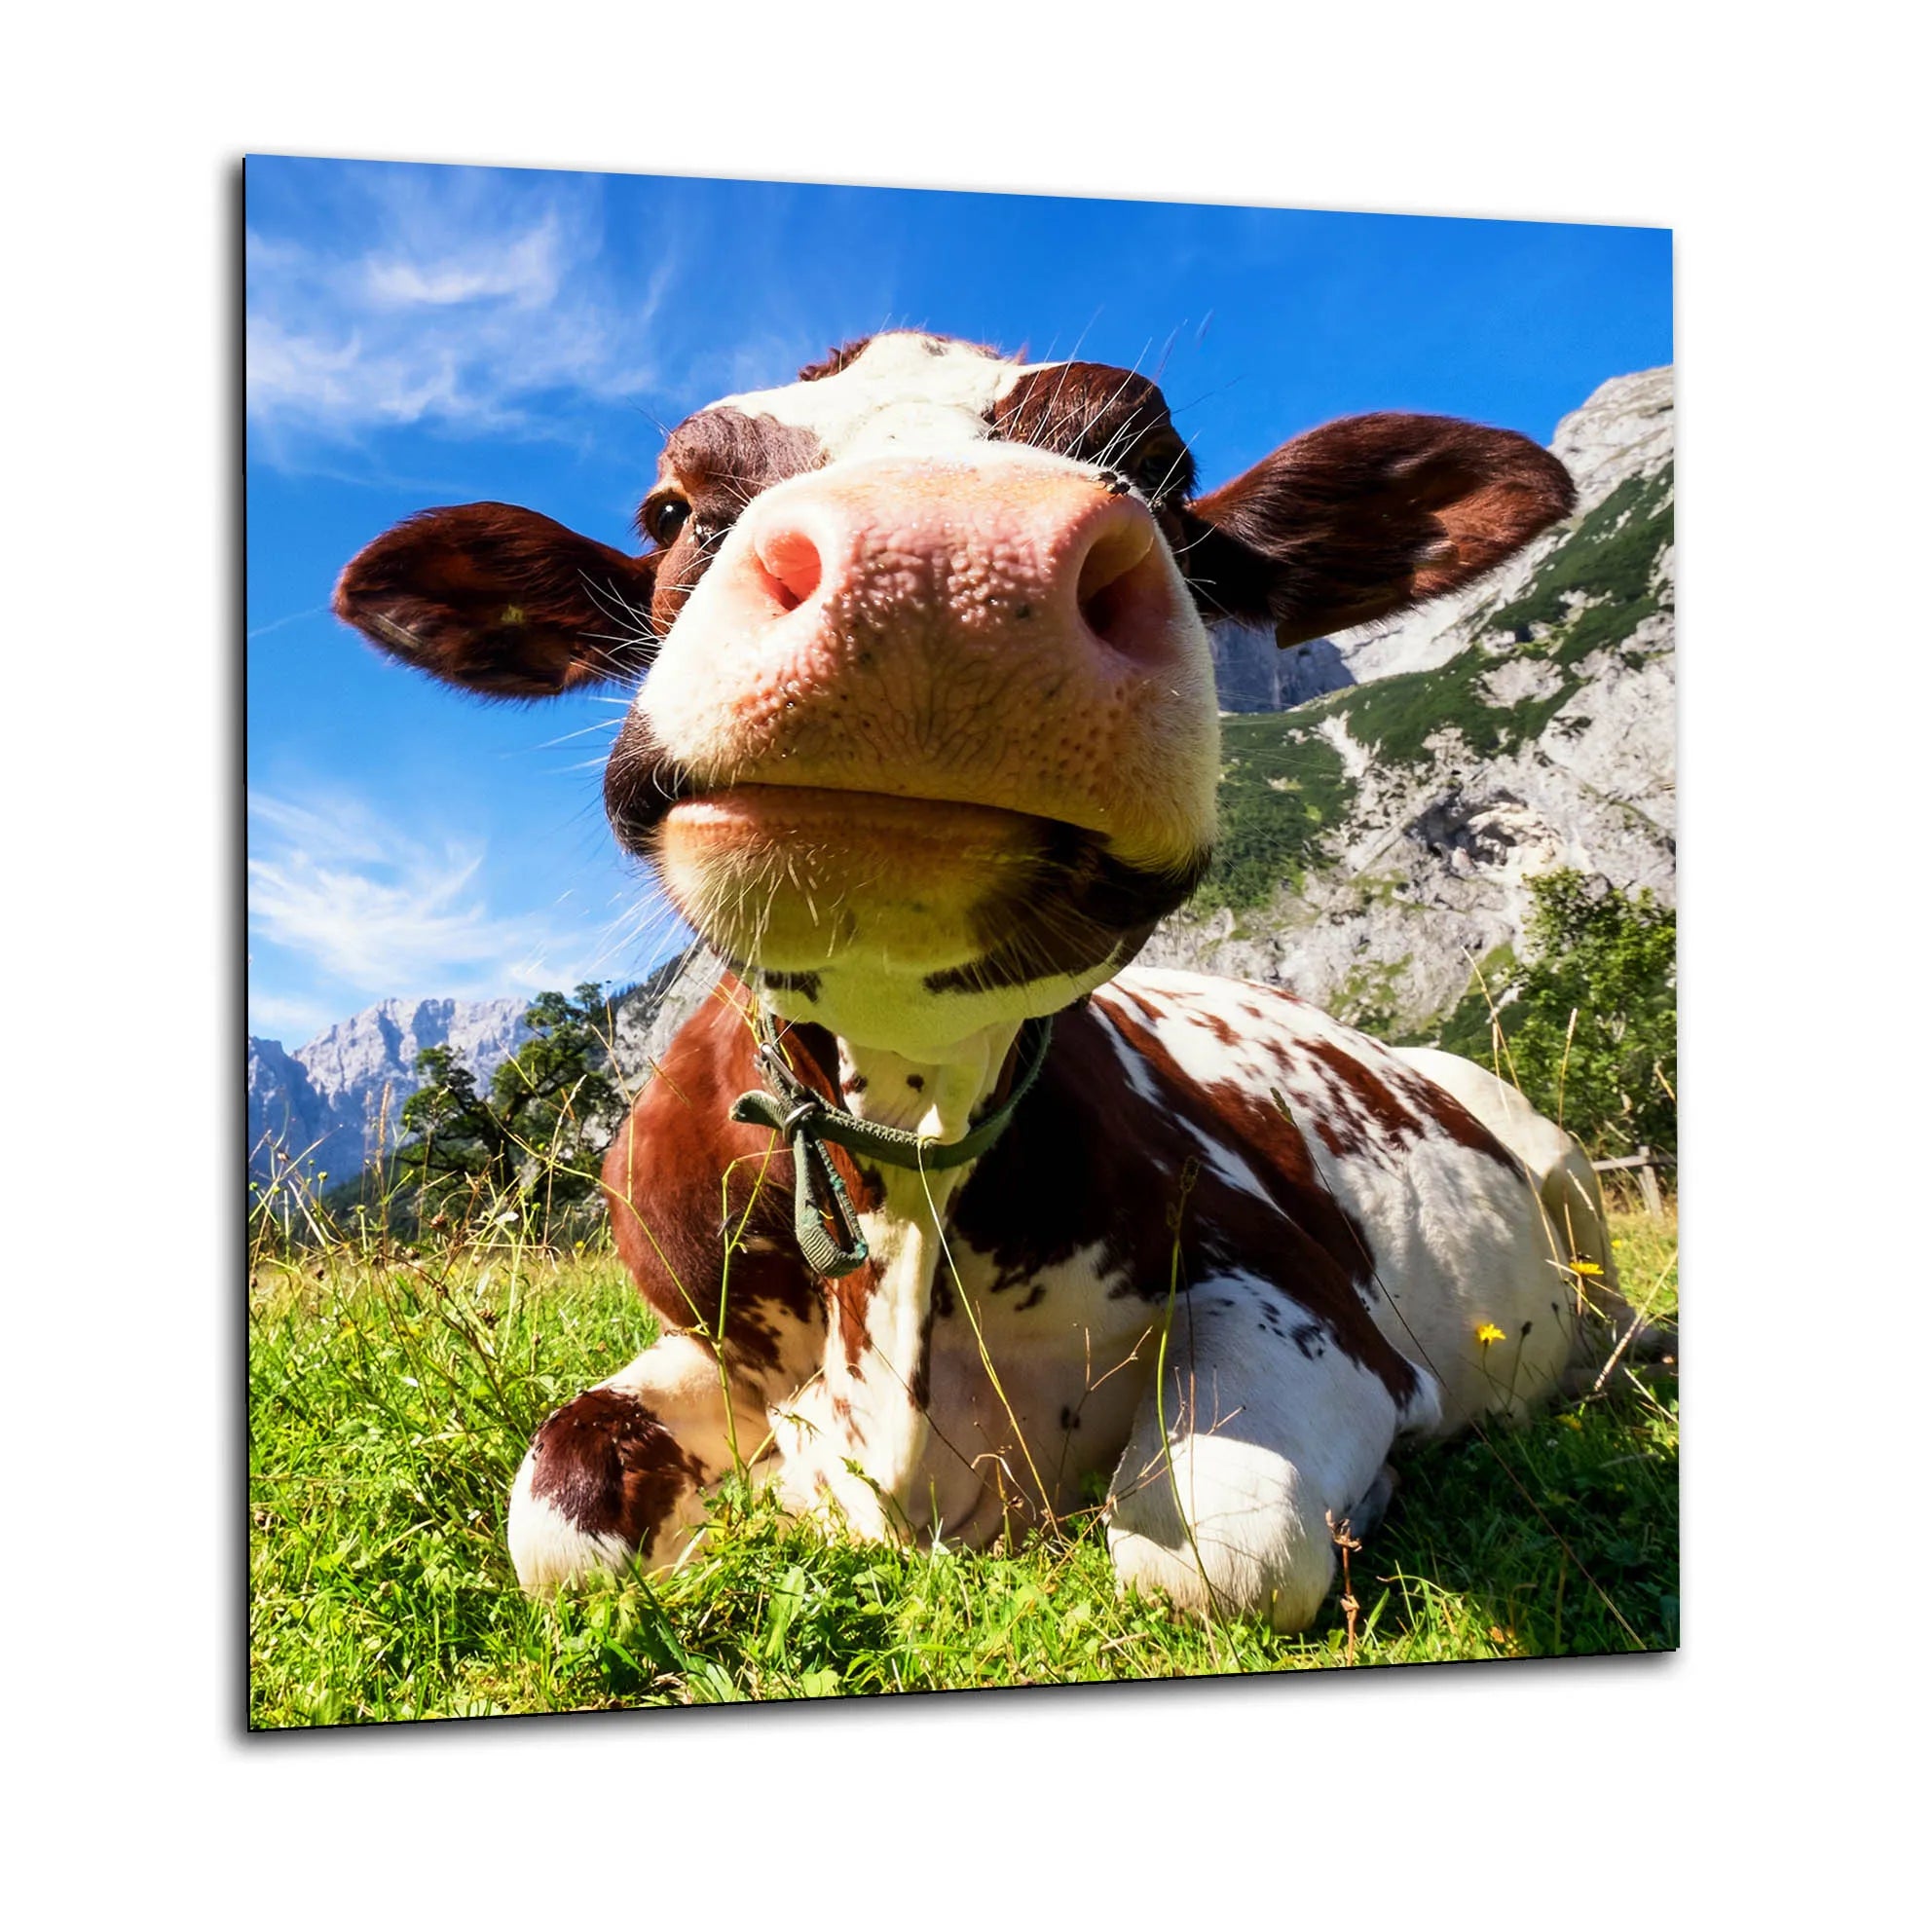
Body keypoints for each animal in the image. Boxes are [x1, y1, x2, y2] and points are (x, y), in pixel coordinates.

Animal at [334, 329, 1623, 1633]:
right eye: (670, 509)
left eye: (1159, 470)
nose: (943, 562)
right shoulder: (699, 1340)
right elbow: (556, 1514)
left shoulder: (1310, 1300)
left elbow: (1217, 1549)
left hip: (1558, 1165)